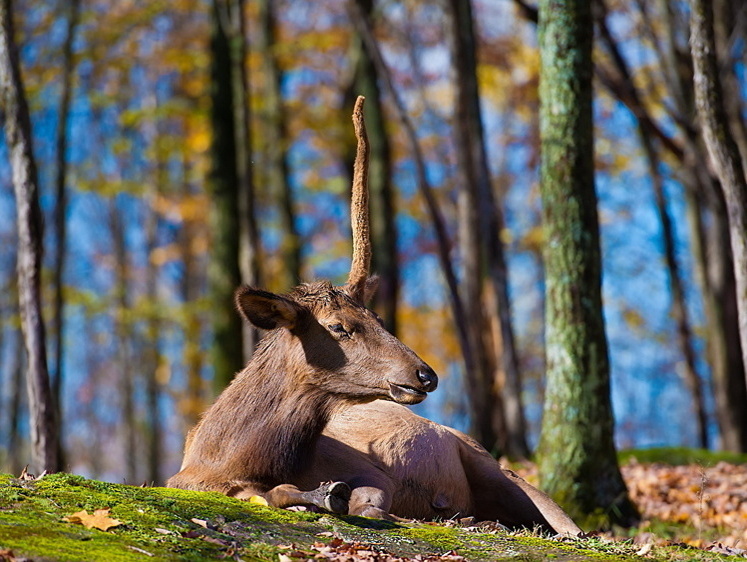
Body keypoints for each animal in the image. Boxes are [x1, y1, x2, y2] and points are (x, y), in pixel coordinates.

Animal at [165, 97, 438, 512]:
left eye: (378, 317)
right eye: (338, 326)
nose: (426, 375)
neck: (221, 460)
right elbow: (269, 493)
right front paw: (321, 493)